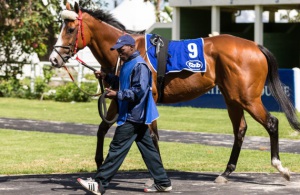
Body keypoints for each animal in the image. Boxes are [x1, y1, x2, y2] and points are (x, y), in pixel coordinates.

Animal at [49, 2, 300, 183]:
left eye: (70, 29)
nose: (53, 59)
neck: (128, 51)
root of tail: (255, 46)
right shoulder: (118, 97)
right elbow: (102, 128)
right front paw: (100, 163)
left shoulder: (146, 97)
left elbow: (151, 135)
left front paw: (156, 174)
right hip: (232, 98)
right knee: (240, 129)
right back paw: (225, 173)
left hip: (247, 98)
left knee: (272, 123)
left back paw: (280, 167)